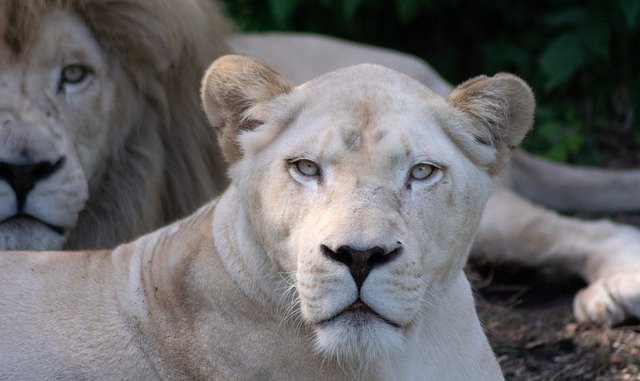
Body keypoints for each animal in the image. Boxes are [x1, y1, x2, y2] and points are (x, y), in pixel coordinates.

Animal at [1, 0, 640, 324]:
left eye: (75, 75)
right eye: (306, 169)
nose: (22, 171)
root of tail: (429, 74)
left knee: (577, 229)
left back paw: (612, 292)